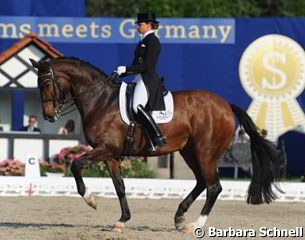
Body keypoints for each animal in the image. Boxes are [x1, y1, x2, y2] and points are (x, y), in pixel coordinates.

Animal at [29, 56, 280, 232]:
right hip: (190, 152)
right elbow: (119, 187)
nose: (49, 116)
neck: (101, 100)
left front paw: (91, 200)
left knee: (213, 187)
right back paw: (179, 218)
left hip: (205, 152)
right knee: (202, 182)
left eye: (46, 84)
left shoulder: (105, 150)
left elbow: (75, 165)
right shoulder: (110, 155)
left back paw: (195, 224)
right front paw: (122, 221)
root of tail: (226, 105)